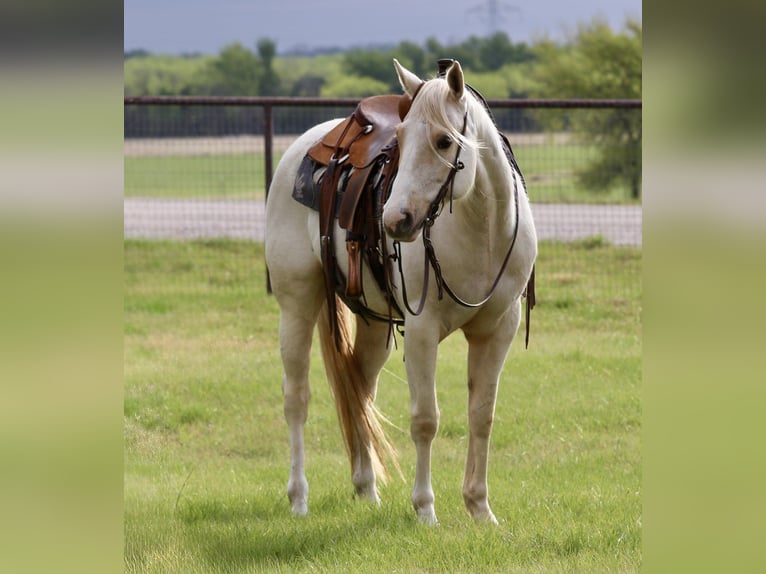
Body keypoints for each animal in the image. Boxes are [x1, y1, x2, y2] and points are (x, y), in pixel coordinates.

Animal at [265, 59, 537, 525]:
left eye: (444, 140)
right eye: (402, 139)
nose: (395, 220)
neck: (482, 232)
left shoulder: (499, 328)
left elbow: (482, 415)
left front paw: (480, 508)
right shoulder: (423, 329)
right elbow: (425, 419)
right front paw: (425, 508)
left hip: (373, 326)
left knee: (360, 389)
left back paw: (365, 487)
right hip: (297, 307)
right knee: (296, 398)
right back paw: (298, 498)